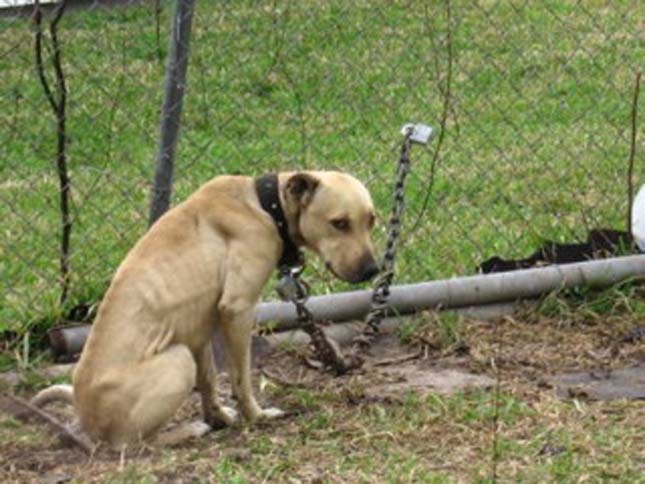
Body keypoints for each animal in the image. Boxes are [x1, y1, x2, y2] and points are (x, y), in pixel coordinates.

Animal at [32, 172, 378, 448]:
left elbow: (210, 380)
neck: (266, 206)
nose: (372, 270)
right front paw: (256, 415)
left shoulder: (200, 331)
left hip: (185, 348)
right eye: (339, 223)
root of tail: (84, 415)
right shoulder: (238, 311)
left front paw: (220, 416)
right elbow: (241, 378)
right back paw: (187, 431)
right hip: (177, 360)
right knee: (134, 444)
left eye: (371, 221)